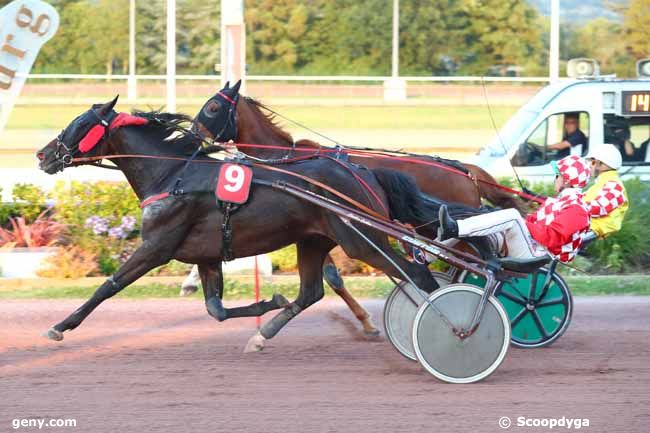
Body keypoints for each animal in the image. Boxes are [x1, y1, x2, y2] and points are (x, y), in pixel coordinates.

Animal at [36, 97, 446, 352]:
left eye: (79, 124)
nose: (42, 155)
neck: (173, 174)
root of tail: (365, 171)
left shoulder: (157, 247)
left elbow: (108, 286)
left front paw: (59, 327)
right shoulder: (205, 254)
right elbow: (215, 309)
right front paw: (270, 301)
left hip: (361, 239)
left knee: (415, 274)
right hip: (313, 240)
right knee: (311, 292)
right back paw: (263, 334)